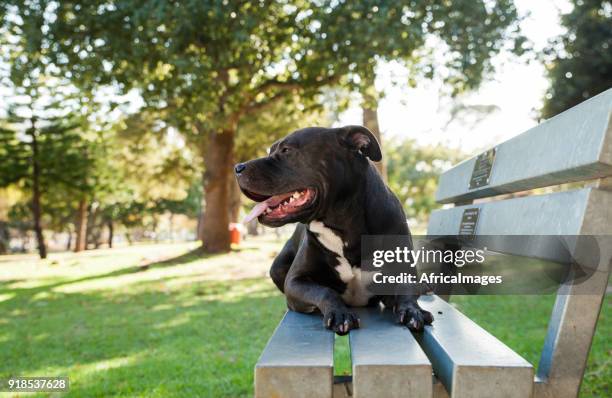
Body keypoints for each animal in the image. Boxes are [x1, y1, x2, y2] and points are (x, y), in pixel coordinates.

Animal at [233, 126, 430, 334]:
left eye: (286, 150)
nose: (237, 168)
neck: (343, 226)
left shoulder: (402, 269)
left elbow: (406, 290)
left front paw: (411, 310)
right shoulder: (295, 281)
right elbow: (324, 290)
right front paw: (339, 313)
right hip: (277, 267)